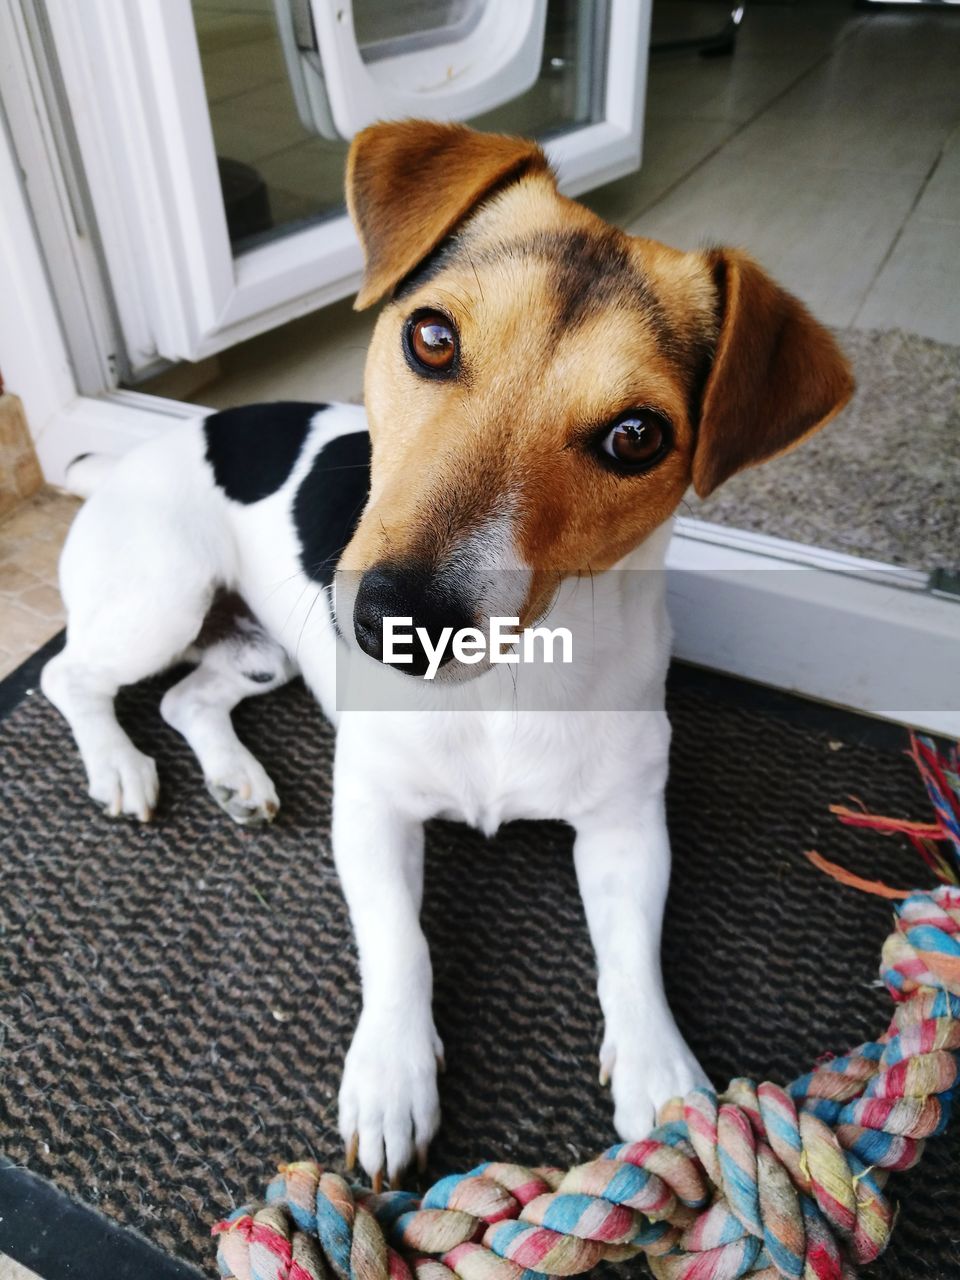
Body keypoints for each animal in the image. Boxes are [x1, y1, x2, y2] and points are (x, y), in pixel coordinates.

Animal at [45, 120, 855, 1187]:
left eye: (638, 436)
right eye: (432, 337)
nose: (399, 622)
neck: (507, 680)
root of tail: (129, 454)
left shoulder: (627, 827)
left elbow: (632, 958)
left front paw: (665, 1078)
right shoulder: (374, 807)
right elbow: (400, 945)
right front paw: (392, 1077)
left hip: (261, 652)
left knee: (191, 700)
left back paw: (235, 778)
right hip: (164, 601)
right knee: (69, 676)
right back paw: (120, 766)